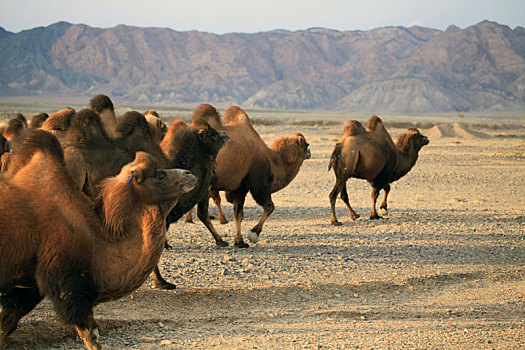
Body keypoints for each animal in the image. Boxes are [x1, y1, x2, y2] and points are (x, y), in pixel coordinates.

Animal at [0, 129, 196, 350]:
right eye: (159, 175)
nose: (189, 174)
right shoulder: (68, 282)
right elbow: (91, 334)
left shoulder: (28, 287)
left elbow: (6, 324)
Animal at [199, 105, 310, 247]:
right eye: (306, 145)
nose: (309, 152)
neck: (272, 161)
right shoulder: (257, 183)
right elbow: (269, 206)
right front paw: (253, 234)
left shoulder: (238, 187)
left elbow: (238, 213)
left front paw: (239, 242)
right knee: (202, 213)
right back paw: (220, 240)